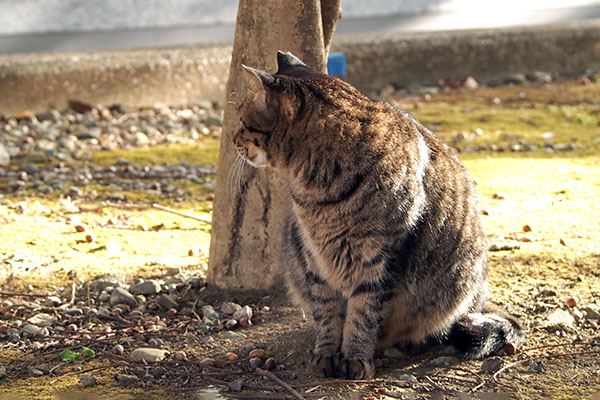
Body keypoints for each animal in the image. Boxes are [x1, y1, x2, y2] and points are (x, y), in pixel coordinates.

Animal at [232, 50, 524, 378]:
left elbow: (364, 312)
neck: (318, 190)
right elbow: (327, 312)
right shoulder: (314, 259)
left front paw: (355, 357)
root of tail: (479, 301)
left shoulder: (381, 258)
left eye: (242, 120)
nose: (232, 138)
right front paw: (326, 353)